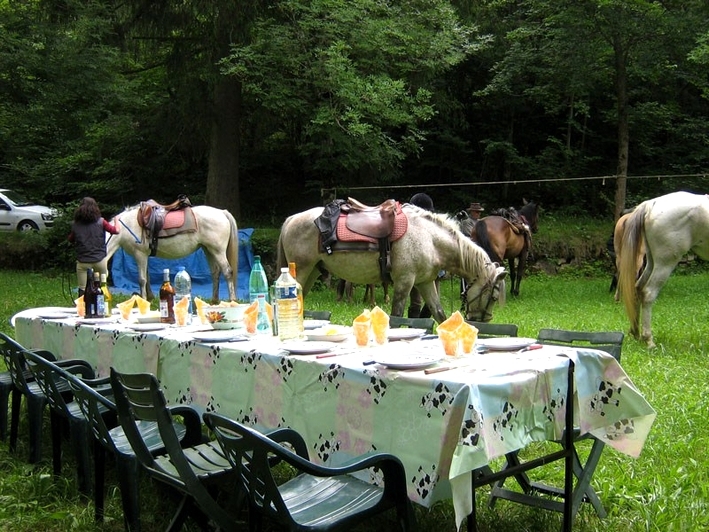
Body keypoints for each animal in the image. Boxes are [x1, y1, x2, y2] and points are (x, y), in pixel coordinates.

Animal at [104, 205, 238, 304]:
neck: (126, 227)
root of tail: (222, 212)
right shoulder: (144, 256)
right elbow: (147, 277)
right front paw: (150, 298)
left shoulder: (140, 255)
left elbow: (142, 279)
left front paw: (143, 299)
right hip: (208, 250)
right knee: (215, 273)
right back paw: (214, 301)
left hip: (218, 251)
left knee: (227, 271)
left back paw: (232, 300)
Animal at [274, 202, 506, 322]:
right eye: (493, 297)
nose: (482, 321)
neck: (429, 238)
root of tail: (291, 219)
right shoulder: (405, 282)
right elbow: (396, 316)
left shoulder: (425, 283)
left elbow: (439, 314)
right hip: (301, 271)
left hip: (311, 273)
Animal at [612, 192, 708, 350]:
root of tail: (650, 204)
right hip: (665, 263)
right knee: (648, 293)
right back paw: (648, 340)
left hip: (651, 262)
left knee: (638, 288)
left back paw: (636, 332)